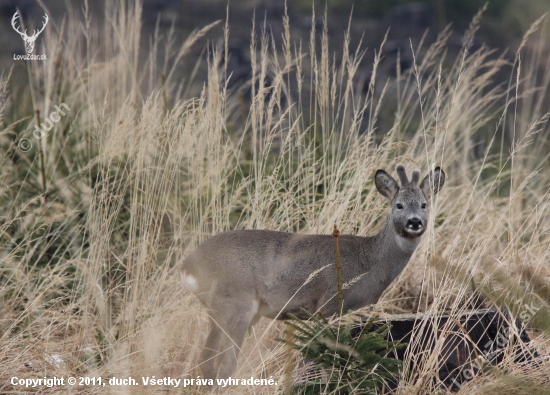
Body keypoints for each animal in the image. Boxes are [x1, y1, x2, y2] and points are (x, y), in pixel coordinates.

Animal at [182, 164, 448, 384]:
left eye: (424, 205)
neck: (369, 263)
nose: (414, 222)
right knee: (224, 366)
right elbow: (316, 361)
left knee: (205, 362)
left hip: (218, 310)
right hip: (236, 304)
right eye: (399, 205)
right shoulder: (327, 305)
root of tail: (188, 265)